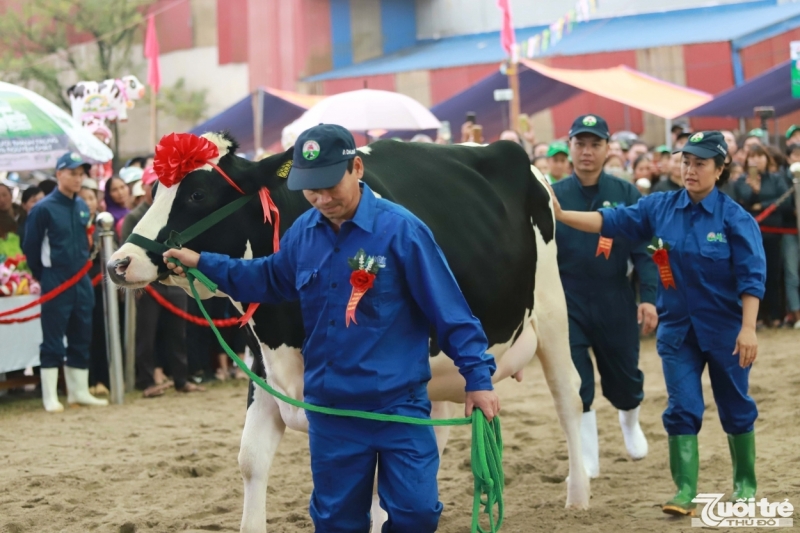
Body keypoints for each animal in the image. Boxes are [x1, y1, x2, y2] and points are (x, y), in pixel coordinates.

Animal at [108, 131, 588, 528]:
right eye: (155, 190)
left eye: (197, 193)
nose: (118, 263)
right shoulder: (262, 367)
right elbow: (251, 460)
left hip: (552, 311)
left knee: (569, 394)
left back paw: (577, 496)